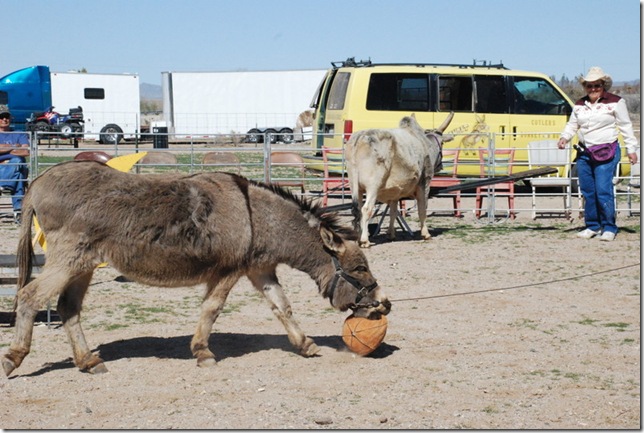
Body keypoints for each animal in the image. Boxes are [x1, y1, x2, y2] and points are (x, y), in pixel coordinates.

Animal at [348, 112, 452, 246]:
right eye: (442, 143)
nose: (441, 166)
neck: (425, 144)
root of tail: (360, 137)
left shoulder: (395, 191)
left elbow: (393, 211)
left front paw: (391, 234)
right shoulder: (424, 183)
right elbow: (422, 209)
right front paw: (426, 234)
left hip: (355, 187)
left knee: (358, 210)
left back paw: (359, 238)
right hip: (373, 186)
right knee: (366, 209)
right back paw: (365, 240)